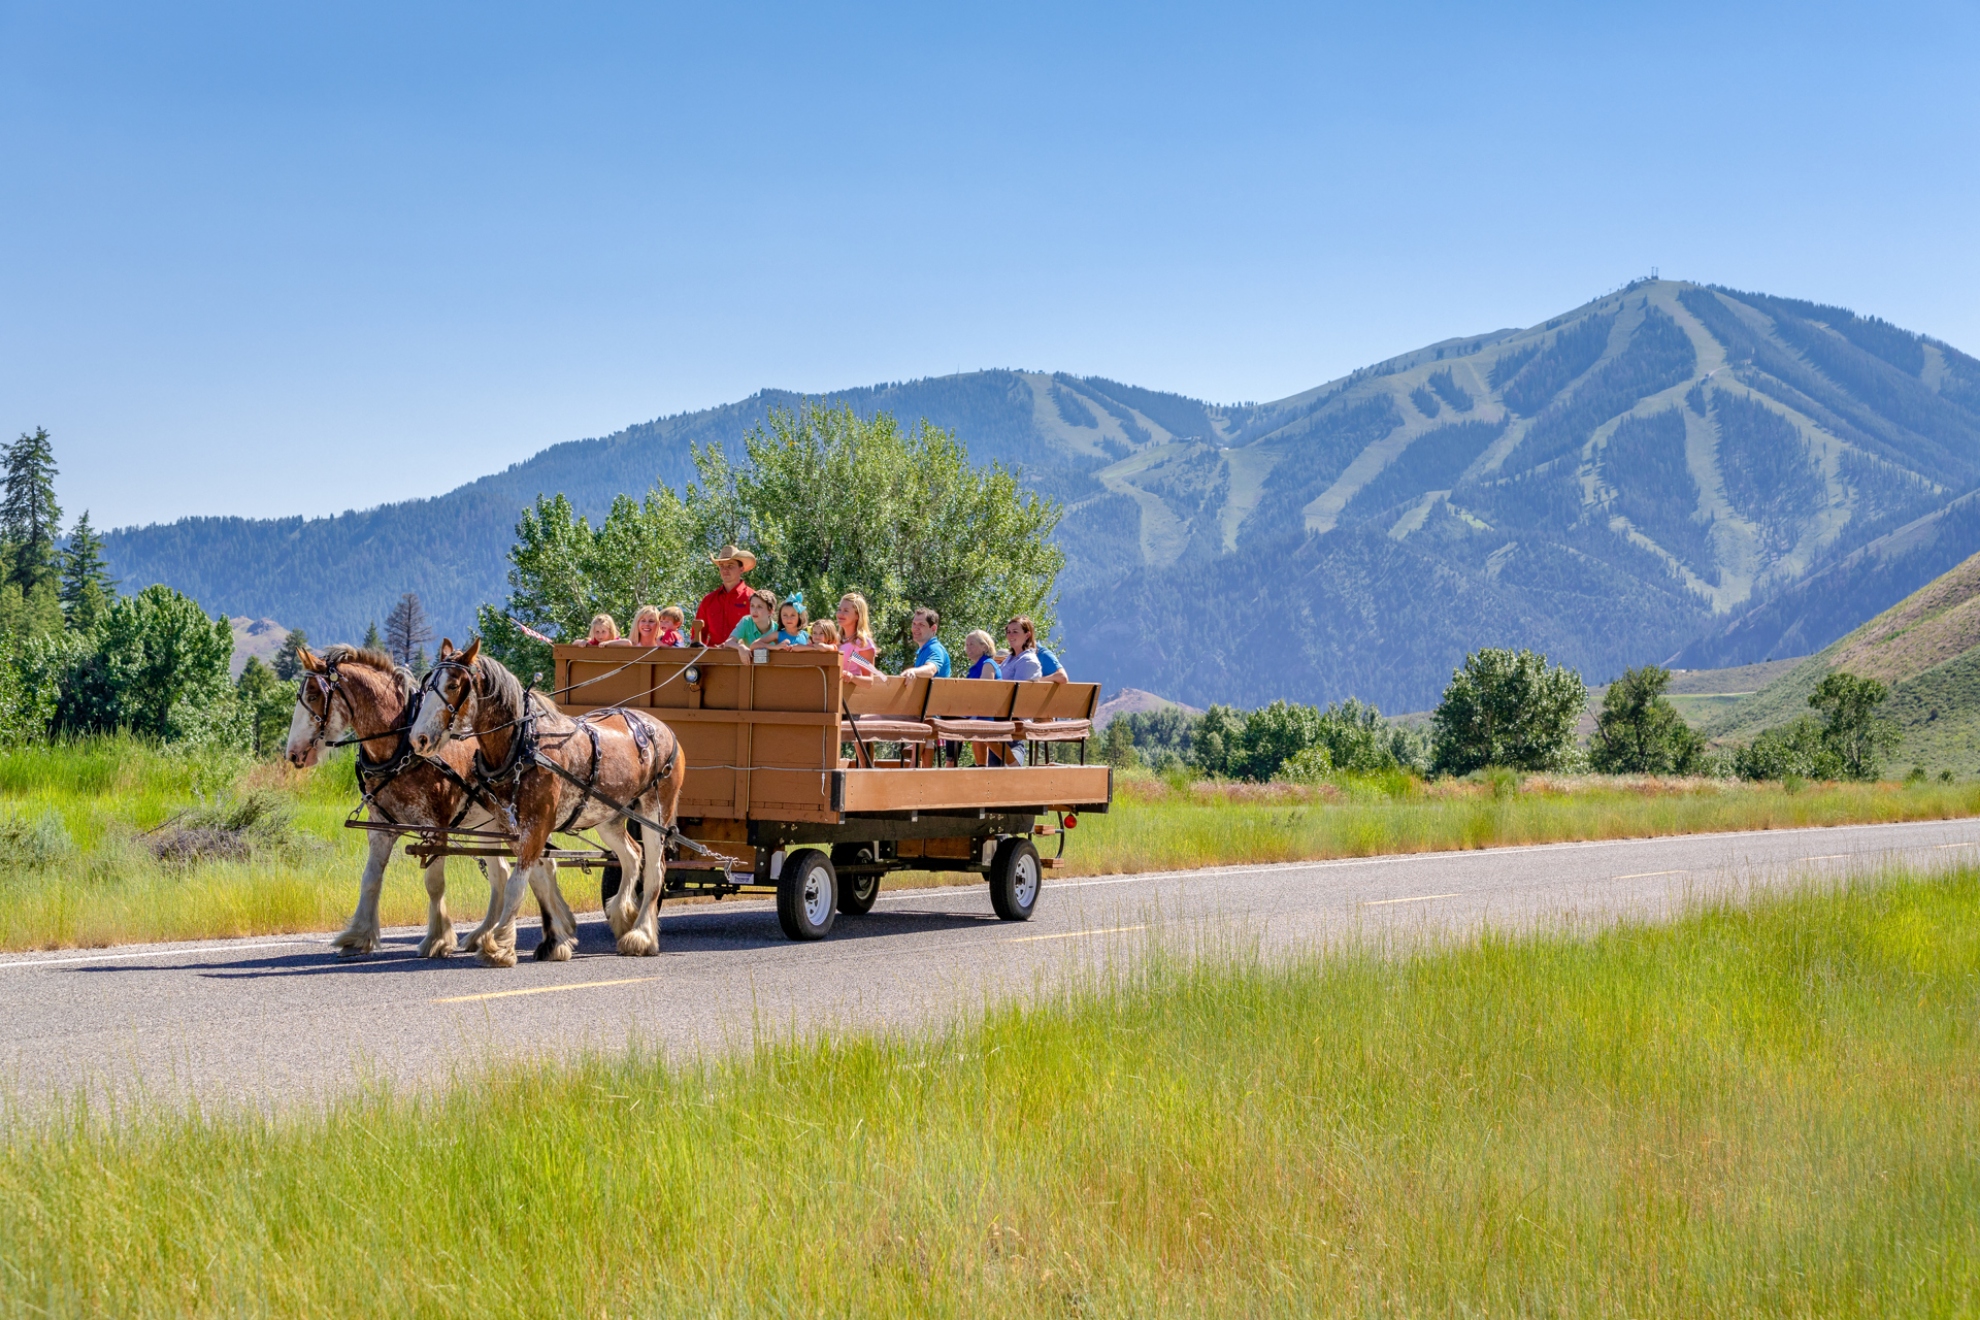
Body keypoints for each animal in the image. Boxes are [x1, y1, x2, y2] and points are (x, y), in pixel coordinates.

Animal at [283, 649, 554, 961]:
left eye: (314, 694)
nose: (292, 754)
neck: (402, 749)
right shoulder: (380, 827)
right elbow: (370, 879)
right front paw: (358, 936)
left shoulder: (436, 827)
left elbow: (434, 883)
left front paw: (437, 939)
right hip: (488, 826)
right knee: (503, 873)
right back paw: (484, 935)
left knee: (540, 864)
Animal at [409, 633, 689, 965]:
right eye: (427, 684)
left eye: (453, 685)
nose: (418, 739)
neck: (522, 746)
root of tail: (664, 727)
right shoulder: (514, 827)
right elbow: (538, 881)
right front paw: (555, 940)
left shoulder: (538, 823)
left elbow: (517, 885)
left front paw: (499, 945)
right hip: (609, 815)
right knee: (632, 856)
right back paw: (622, 915)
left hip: (656, 810)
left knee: (655, 869)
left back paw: (642, 935)